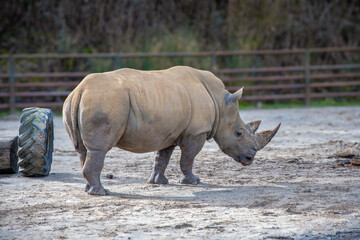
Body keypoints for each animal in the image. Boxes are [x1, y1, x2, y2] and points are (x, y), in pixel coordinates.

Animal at [63, 65, 280, 195]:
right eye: (239, 133)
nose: (250, 158)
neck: (220, 103)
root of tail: (80, 90)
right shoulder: (196, 132)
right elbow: (188, 158)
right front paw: (193, 182)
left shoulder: (167, 132)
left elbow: (162, 157)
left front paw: (159, 182)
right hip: (105, 102)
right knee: (99, 150)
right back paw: (101, 192)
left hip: (80, 101)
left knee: (84, 150)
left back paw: (89, 189)